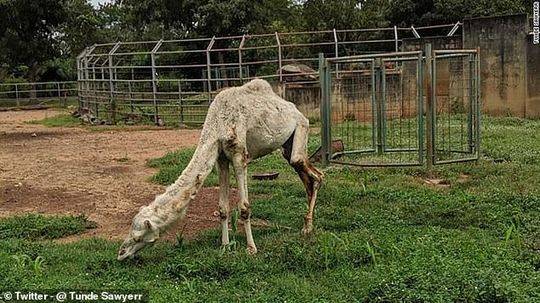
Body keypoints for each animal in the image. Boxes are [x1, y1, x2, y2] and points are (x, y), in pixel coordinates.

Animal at [117, 79, 320, 262]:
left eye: (138, 237)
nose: (121, 254)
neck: (217, 123)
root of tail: (298, 111)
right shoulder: (221, 158)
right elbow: (222, 208)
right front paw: (225, 246)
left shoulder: (239, 155)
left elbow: (244, 207)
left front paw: (251, 248)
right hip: (287, 145)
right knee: (307, 175)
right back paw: (306, 226)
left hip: (301, 129)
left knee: (314, 173)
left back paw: (308, 228)